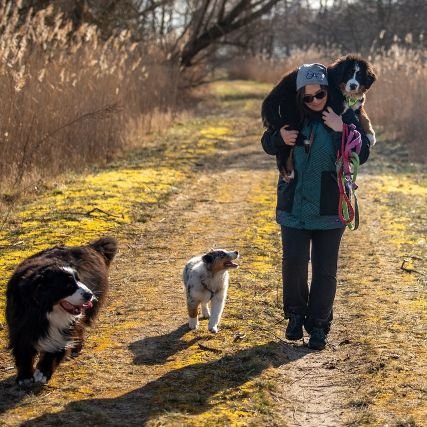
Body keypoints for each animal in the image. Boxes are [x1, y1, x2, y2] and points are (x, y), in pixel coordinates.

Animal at [5, 236, 118, 386]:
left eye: (79, 279)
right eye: (68, 286)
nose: (90, 294)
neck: (45, 310)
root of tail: (90, 247)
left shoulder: (64, 327)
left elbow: (57, 346)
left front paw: (42, 372)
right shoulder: (21, 324)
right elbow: (23, 349)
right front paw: (25, 377)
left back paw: (76, 348)